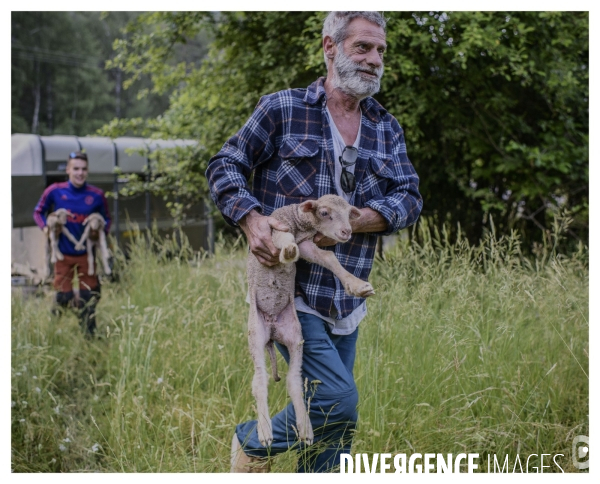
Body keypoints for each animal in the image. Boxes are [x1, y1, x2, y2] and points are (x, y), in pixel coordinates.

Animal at [246, 195, 372, 448]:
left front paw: (358, 286)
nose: (346, 231)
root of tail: (272, 329)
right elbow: (284, 239)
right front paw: (287, 252)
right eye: (324, 213)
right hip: (255, 332)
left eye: (348, 214)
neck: (299, 224)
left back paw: (305, 428)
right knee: (260, 381)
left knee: (294, 382)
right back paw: (265, 432)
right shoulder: (276, 229)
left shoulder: (307, 244)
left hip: (295, 336)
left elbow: (329, 258)